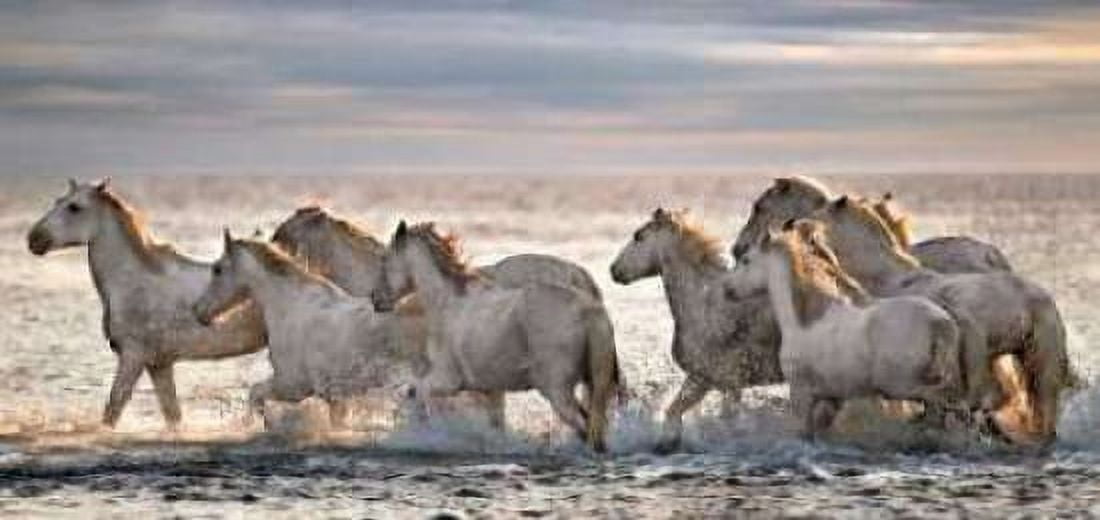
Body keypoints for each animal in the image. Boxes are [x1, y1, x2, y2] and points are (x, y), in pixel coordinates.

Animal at [26, 179, 267, 429]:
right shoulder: (158, 364)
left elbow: (114, 407)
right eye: (57, 201)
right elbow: (172, 415)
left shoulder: (133, 356)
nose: (34, 239)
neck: (134, 281)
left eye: (74, 207)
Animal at [193, 231, 418, 430]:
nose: (199, 311)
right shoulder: (334, 396)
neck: (289, 303)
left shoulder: (293, 386)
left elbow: (255, 393)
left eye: (217, 269)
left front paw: (262, 424)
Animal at [370, 221, 621, 453]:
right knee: (594, 427)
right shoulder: (490, 389)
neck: (447, 302)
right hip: (589, 383)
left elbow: (416, 393)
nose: (376, 299)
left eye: (386, 260)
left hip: (557, 392)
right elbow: (496, 424)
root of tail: (589, 310)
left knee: (586, 429)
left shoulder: (447, 380)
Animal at [610, 208, 781, 452]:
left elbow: (677, 412)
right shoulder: (722, 383)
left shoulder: (705, 379)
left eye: (639, 236)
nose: (614, 270)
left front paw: (668, 444)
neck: (703, 302)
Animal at [727, 219, 964, 439]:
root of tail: (940, 321)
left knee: (945, 404)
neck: (805, 321)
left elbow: (804, 432)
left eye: (746, 260)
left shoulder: (801, 393)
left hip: (905, 386)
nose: (727, 289)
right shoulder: (833, 397)